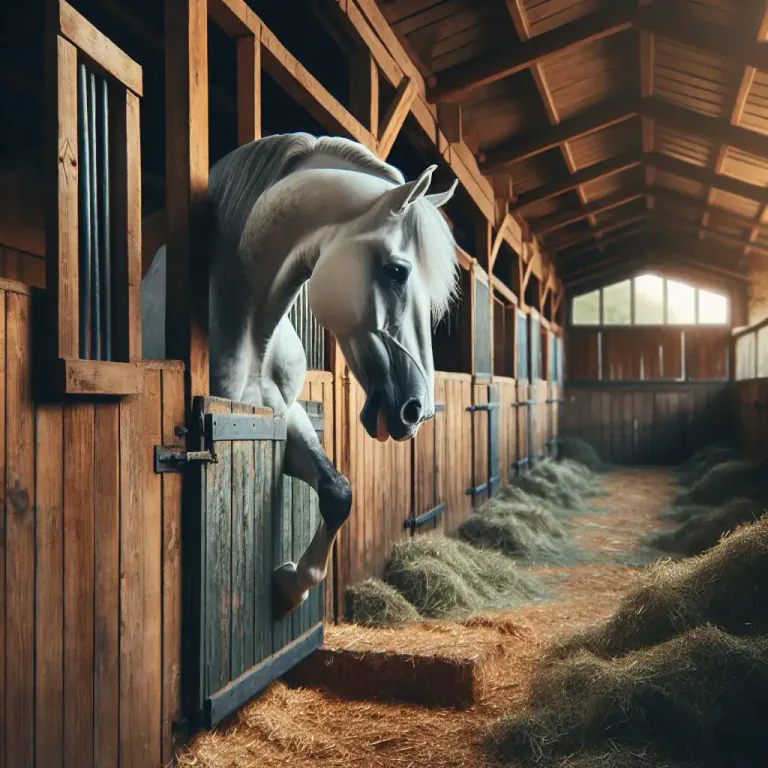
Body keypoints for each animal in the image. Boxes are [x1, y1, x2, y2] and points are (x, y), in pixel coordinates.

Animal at [142, 133, 459, 614]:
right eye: (396, 271)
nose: (416, 410)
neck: (252, 332)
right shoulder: (244, 421)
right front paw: (292, 585)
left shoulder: (283, 418)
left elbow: (338, 491)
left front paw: (292, 586)